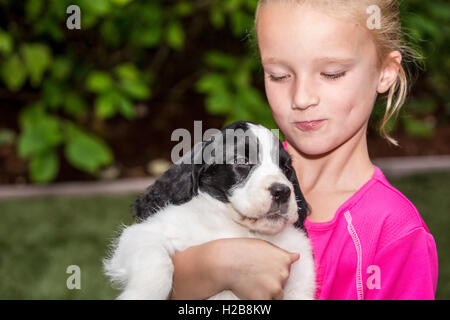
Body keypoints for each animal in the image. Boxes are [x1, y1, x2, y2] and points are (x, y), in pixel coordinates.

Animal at [104, 120, 316, 300]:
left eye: (286, 168)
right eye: (242, 161)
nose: (282, 191)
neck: (240, 230)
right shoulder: (144, 232)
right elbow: (154, 258)